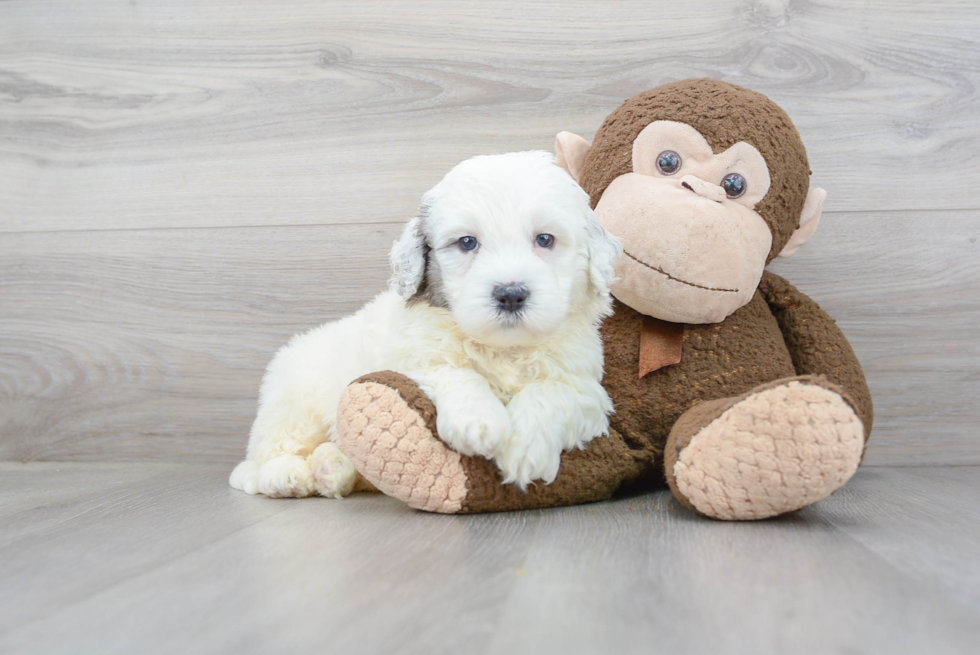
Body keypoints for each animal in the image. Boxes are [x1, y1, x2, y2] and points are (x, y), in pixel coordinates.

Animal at [230, 151, 620, 500]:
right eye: (467, 242)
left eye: (545, 239)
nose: (510, 294)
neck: (503, 348)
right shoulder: (411, 362)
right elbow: (454, 372)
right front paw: (479, 422)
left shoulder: (585, 387)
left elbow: (551, 391)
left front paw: (526, 448)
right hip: (294, 402)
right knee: (269, 452)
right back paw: (286, 476)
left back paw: (333, 469)